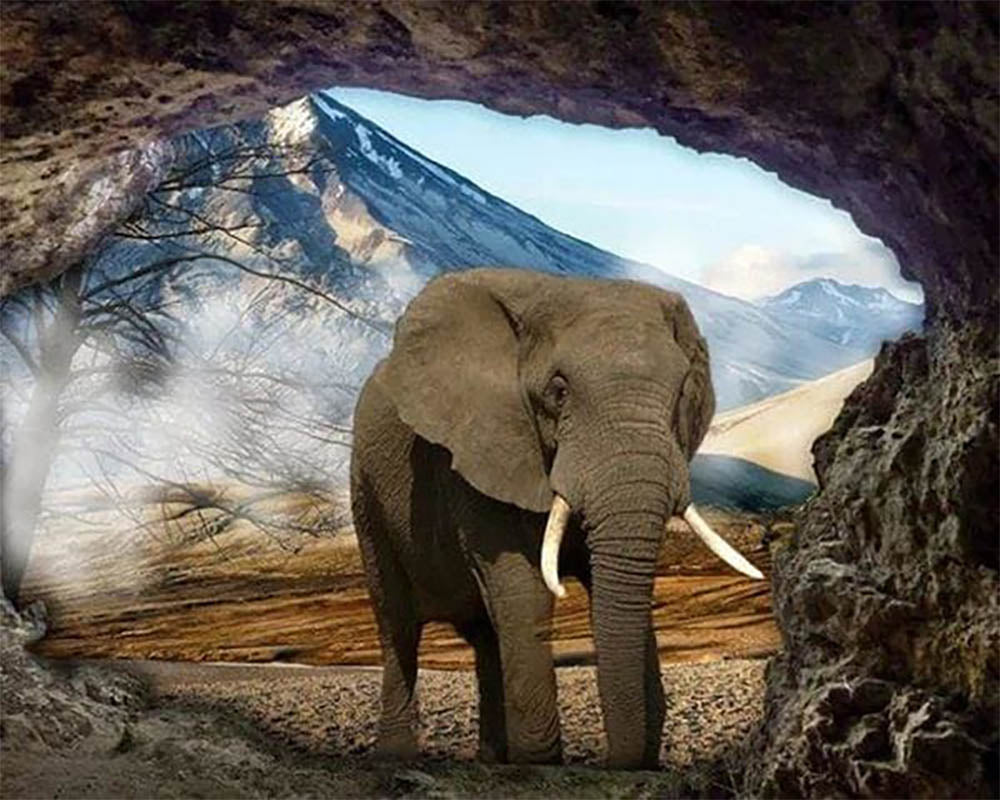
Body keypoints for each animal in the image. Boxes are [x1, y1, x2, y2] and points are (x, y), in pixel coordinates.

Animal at [350, 267, 763, 769]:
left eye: (682, 391)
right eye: (558, 392)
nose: (616, 763)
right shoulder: (480, 450)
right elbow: (523, 592)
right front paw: (540, 762)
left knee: (486, 637)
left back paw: (493, 760)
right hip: (365, 489)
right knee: (398, 627)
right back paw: (397, 757)